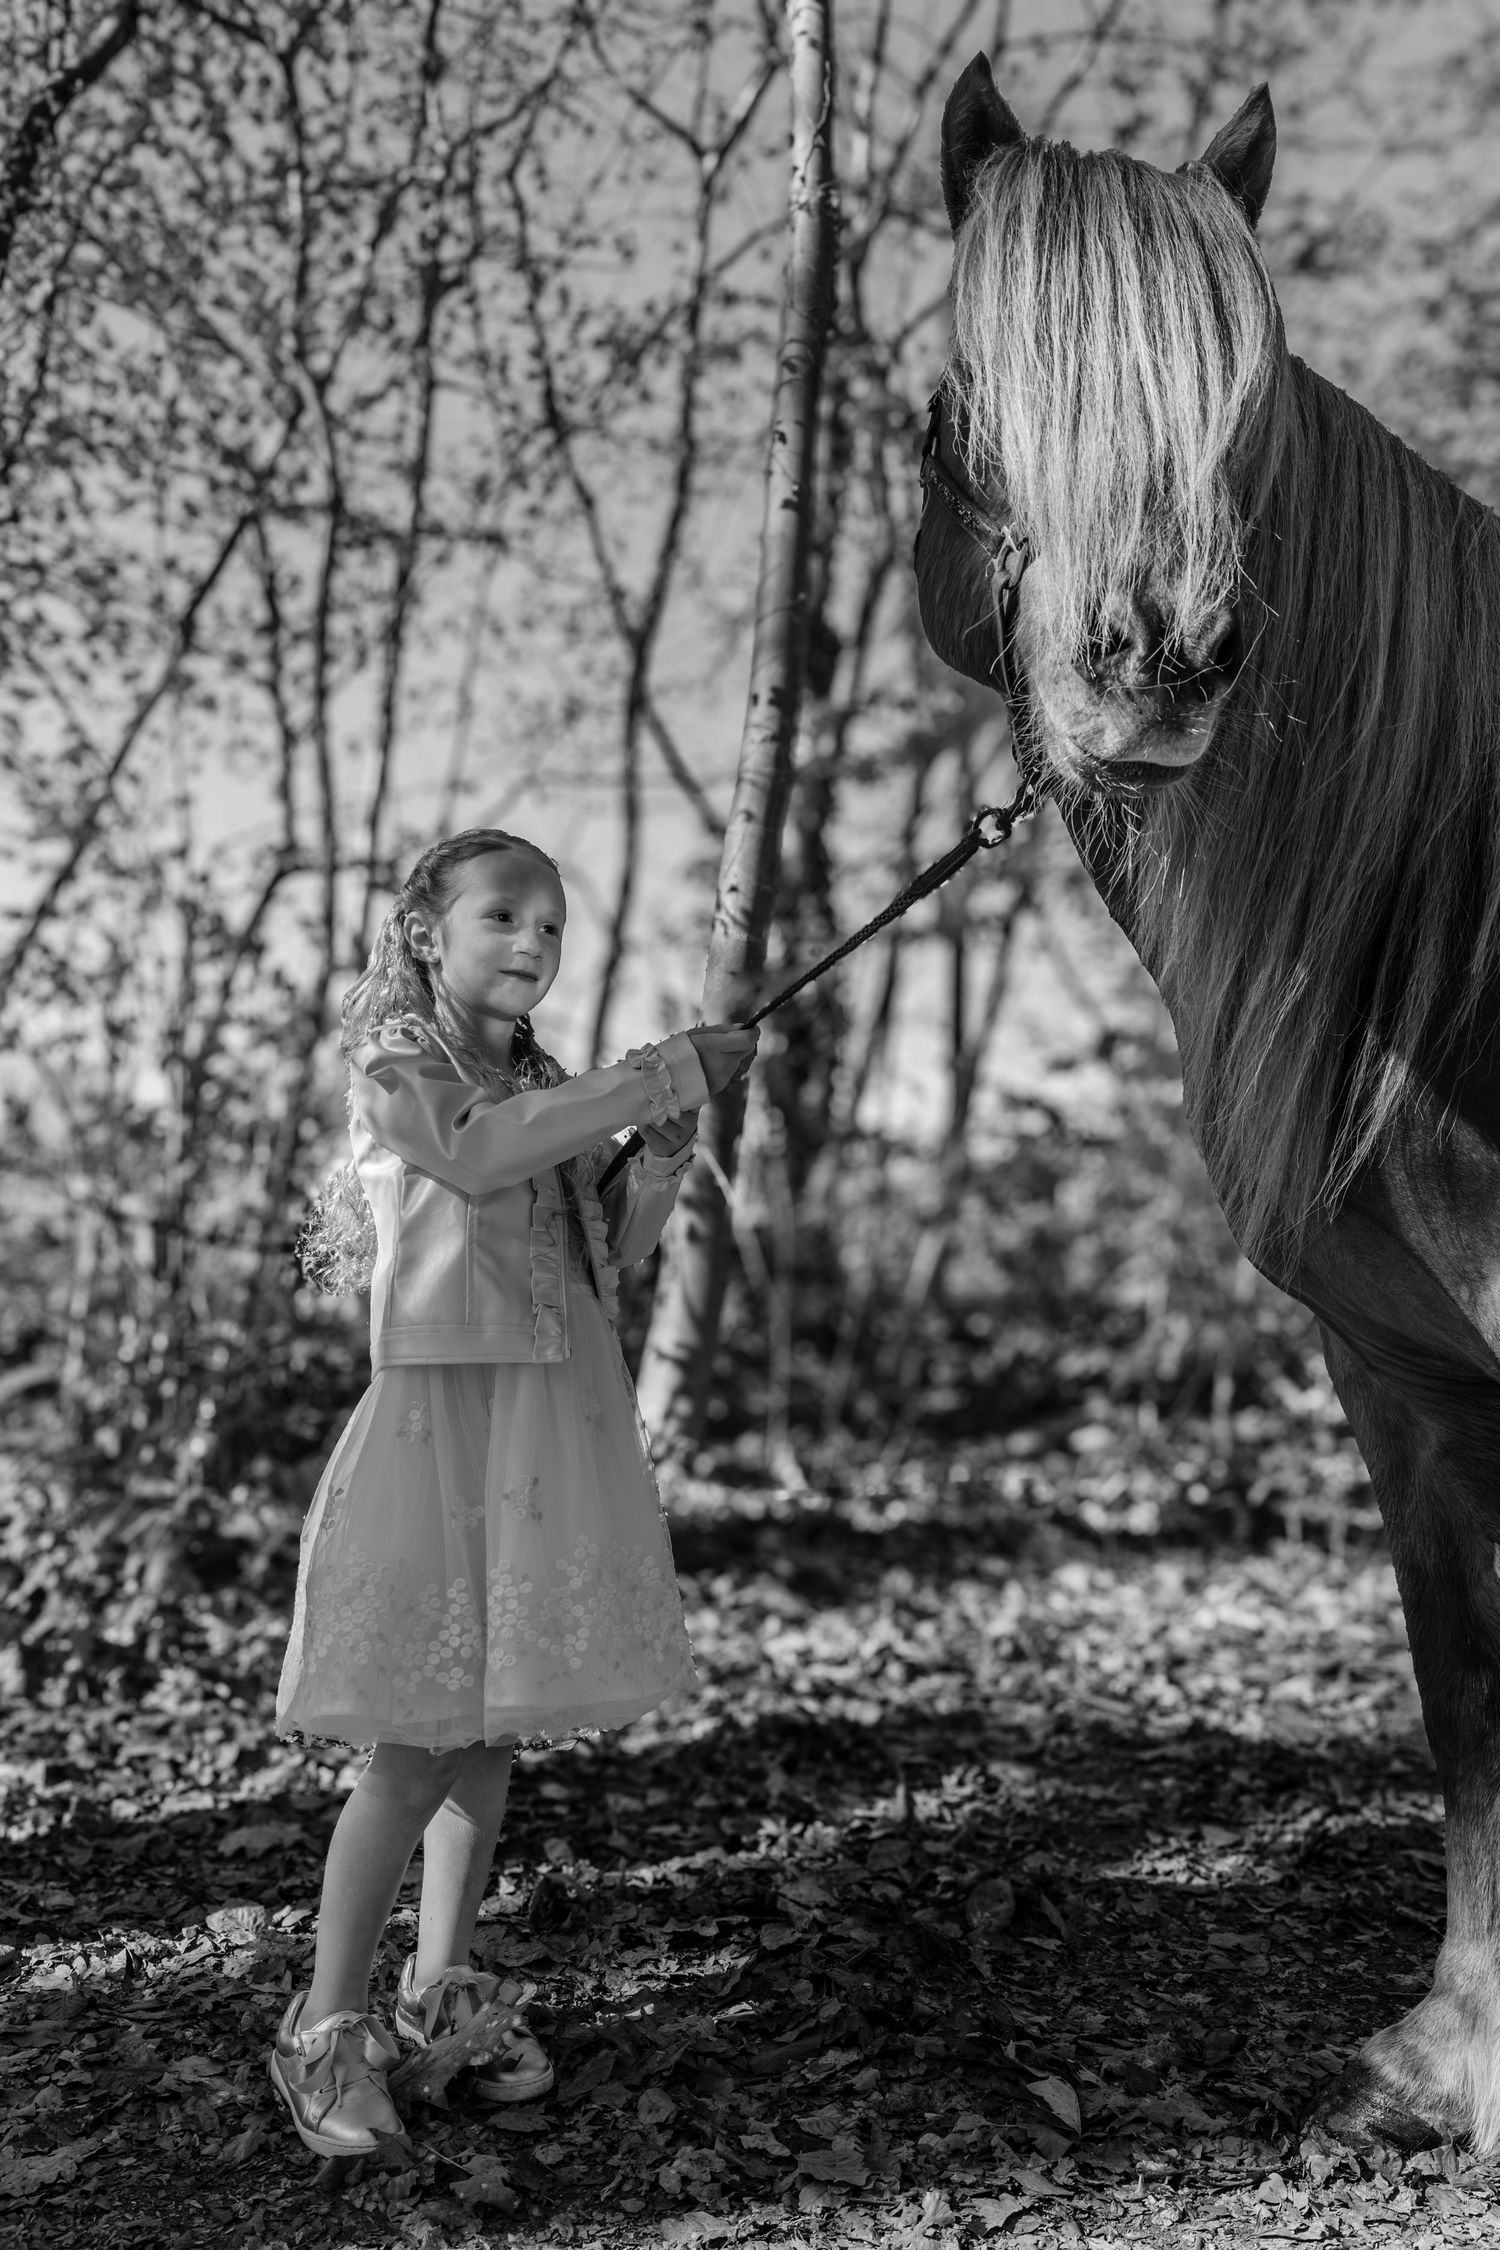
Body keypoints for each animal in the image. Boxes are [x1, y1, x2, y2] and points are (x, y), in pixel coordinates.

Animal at [914, 56, 1500, 2154]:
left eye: (1245, 409)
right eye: (958, 394)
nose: (1157, 660)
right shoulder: (1404, 1377)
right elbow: (1467, 1694)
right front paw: (1451, 2060)